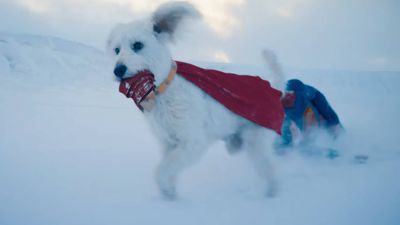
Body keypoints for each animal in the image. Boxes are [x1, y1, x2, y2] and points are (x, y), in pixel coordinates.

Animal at [108, 1, 280, 199]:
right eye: (116, 50)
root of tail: (275, 89)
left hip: (255, 141)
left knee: (271, 171)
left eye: (137, 45)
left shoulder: (192, 142)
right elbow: (167, 167)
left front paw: (166, 189)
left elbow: (163, 169)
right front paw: (170, 194)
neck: (163, 92)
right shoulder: (168, 143)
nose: (117, 70)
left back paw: (270, 195)